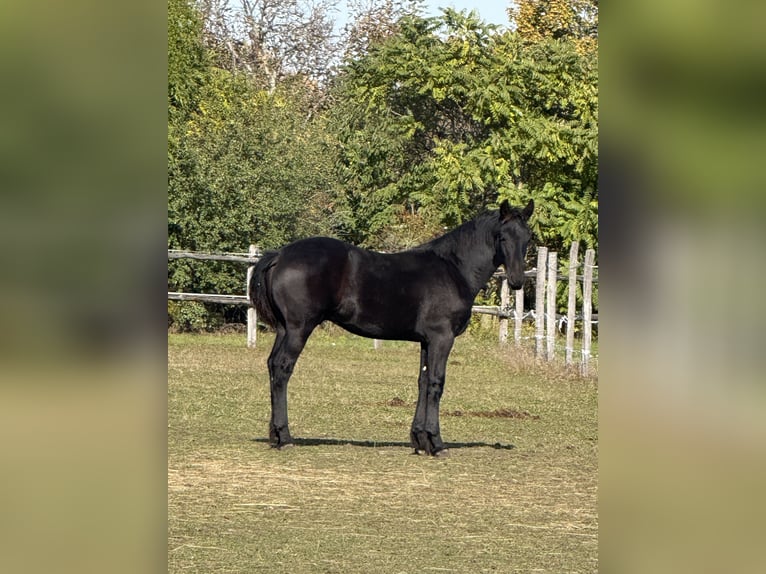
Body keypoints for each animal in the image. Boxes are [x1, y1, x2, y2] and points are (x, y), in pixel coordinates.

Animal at [249, 199, 534, 456]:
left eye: (528, 238)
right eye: (502, 237)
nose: (517, 281)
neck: (454, 269)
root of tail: (280, 255)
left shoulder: (426, 341)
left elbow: (422, 381)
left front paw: (420, 440)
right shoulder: (442, 338)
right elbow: (436, 383)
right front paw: (436, 443)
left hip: (284, 329)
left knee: (272, 365)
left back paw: (275, 435)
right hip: (299, 328)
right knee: (283, 368)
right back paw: (285, 437)